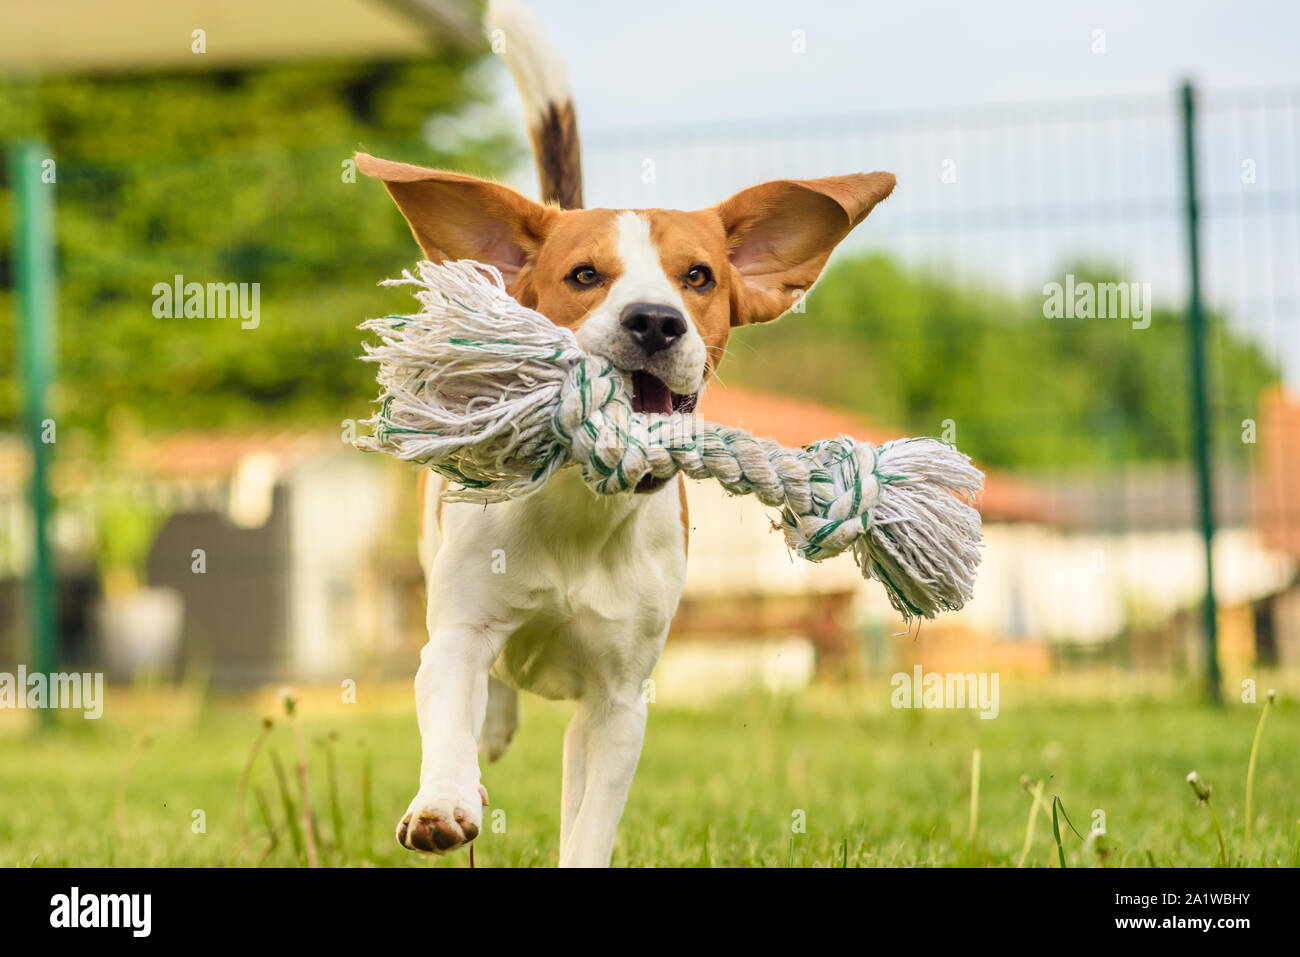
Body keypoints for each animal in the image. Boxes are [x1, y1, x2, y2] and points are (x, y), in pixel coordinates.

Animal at [358, 0, 894, 868]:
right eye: (585, 275)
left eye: (698, 276)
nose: (654, 320)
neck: (584, 508)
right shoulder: (460, 633)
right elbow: (449, 695)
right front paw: (442, 800)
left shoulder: (616, 702)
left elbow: (590, 818)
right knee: (487, 695)